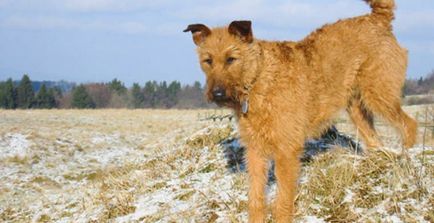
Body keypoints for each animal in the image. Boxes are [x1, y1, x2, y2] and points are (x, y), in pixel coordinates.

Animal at [183, 0, 418, 221]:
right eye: (208, 60)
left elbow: (283, 199)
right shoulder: (255, 151)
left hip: (379, 95)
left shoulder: (287, 151)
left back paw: (407, 158)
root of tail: (378, 19)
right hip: (357, 108)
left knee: (409, 125)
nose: (217, 93)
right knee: (376, 140)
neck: (259, 78)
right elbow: (256, 198)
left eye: (231, 58)